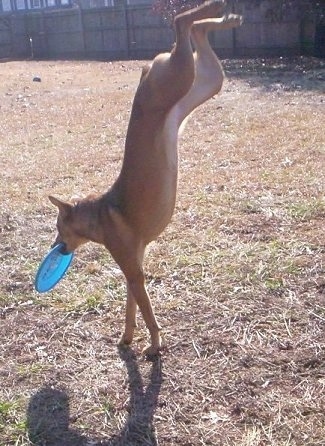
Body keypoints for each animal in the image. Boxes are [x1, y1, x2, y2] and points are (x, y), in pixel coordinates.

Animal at [48, 0, 240, 356]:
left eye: (58, 227)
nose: (56, 247)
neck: (97, 215)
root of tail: (145, 74)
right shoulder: (133, 269)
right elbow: (131, 310)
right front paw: (127, 338)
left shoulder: (135, 274)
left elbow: (148, 314)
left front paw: (154, 345)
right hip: (203, 81)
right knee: (196, 33)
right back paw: (222, 18)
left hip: (179, 76)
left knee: (181, 23)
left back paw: (211, 9)